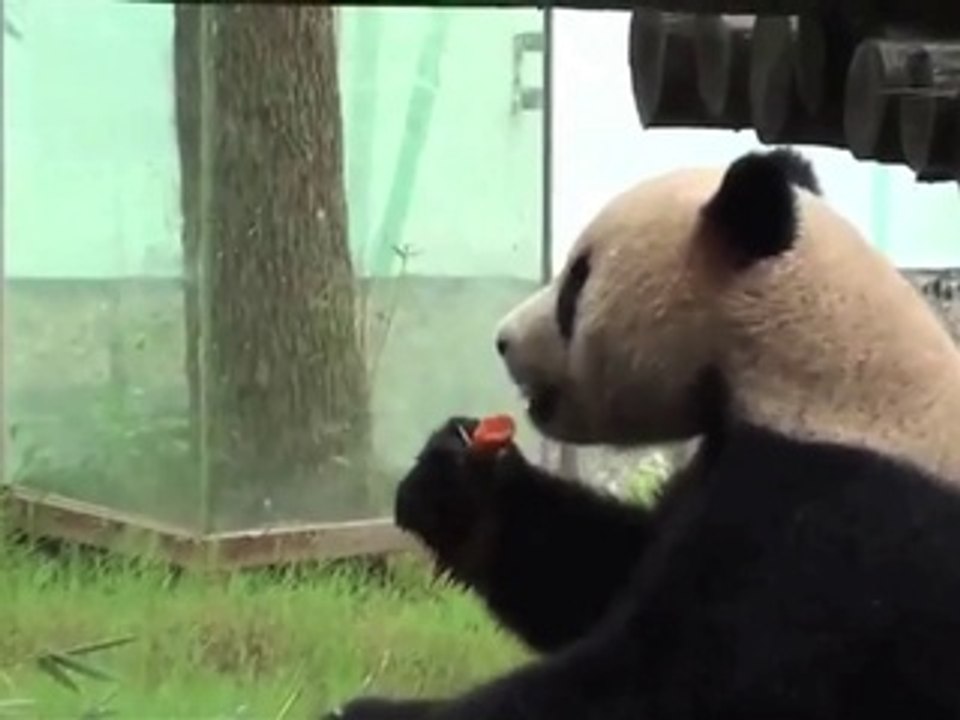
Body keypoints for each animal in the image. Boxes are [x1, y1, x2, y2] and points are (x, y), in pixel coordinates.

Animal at [328, 148, 960, 719]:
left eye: (576, 284)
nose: (502, 339)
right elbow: (598, 574)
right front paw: (458, 481)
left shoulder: (841, 518)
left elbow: (684, 679)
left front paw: (371, 710)